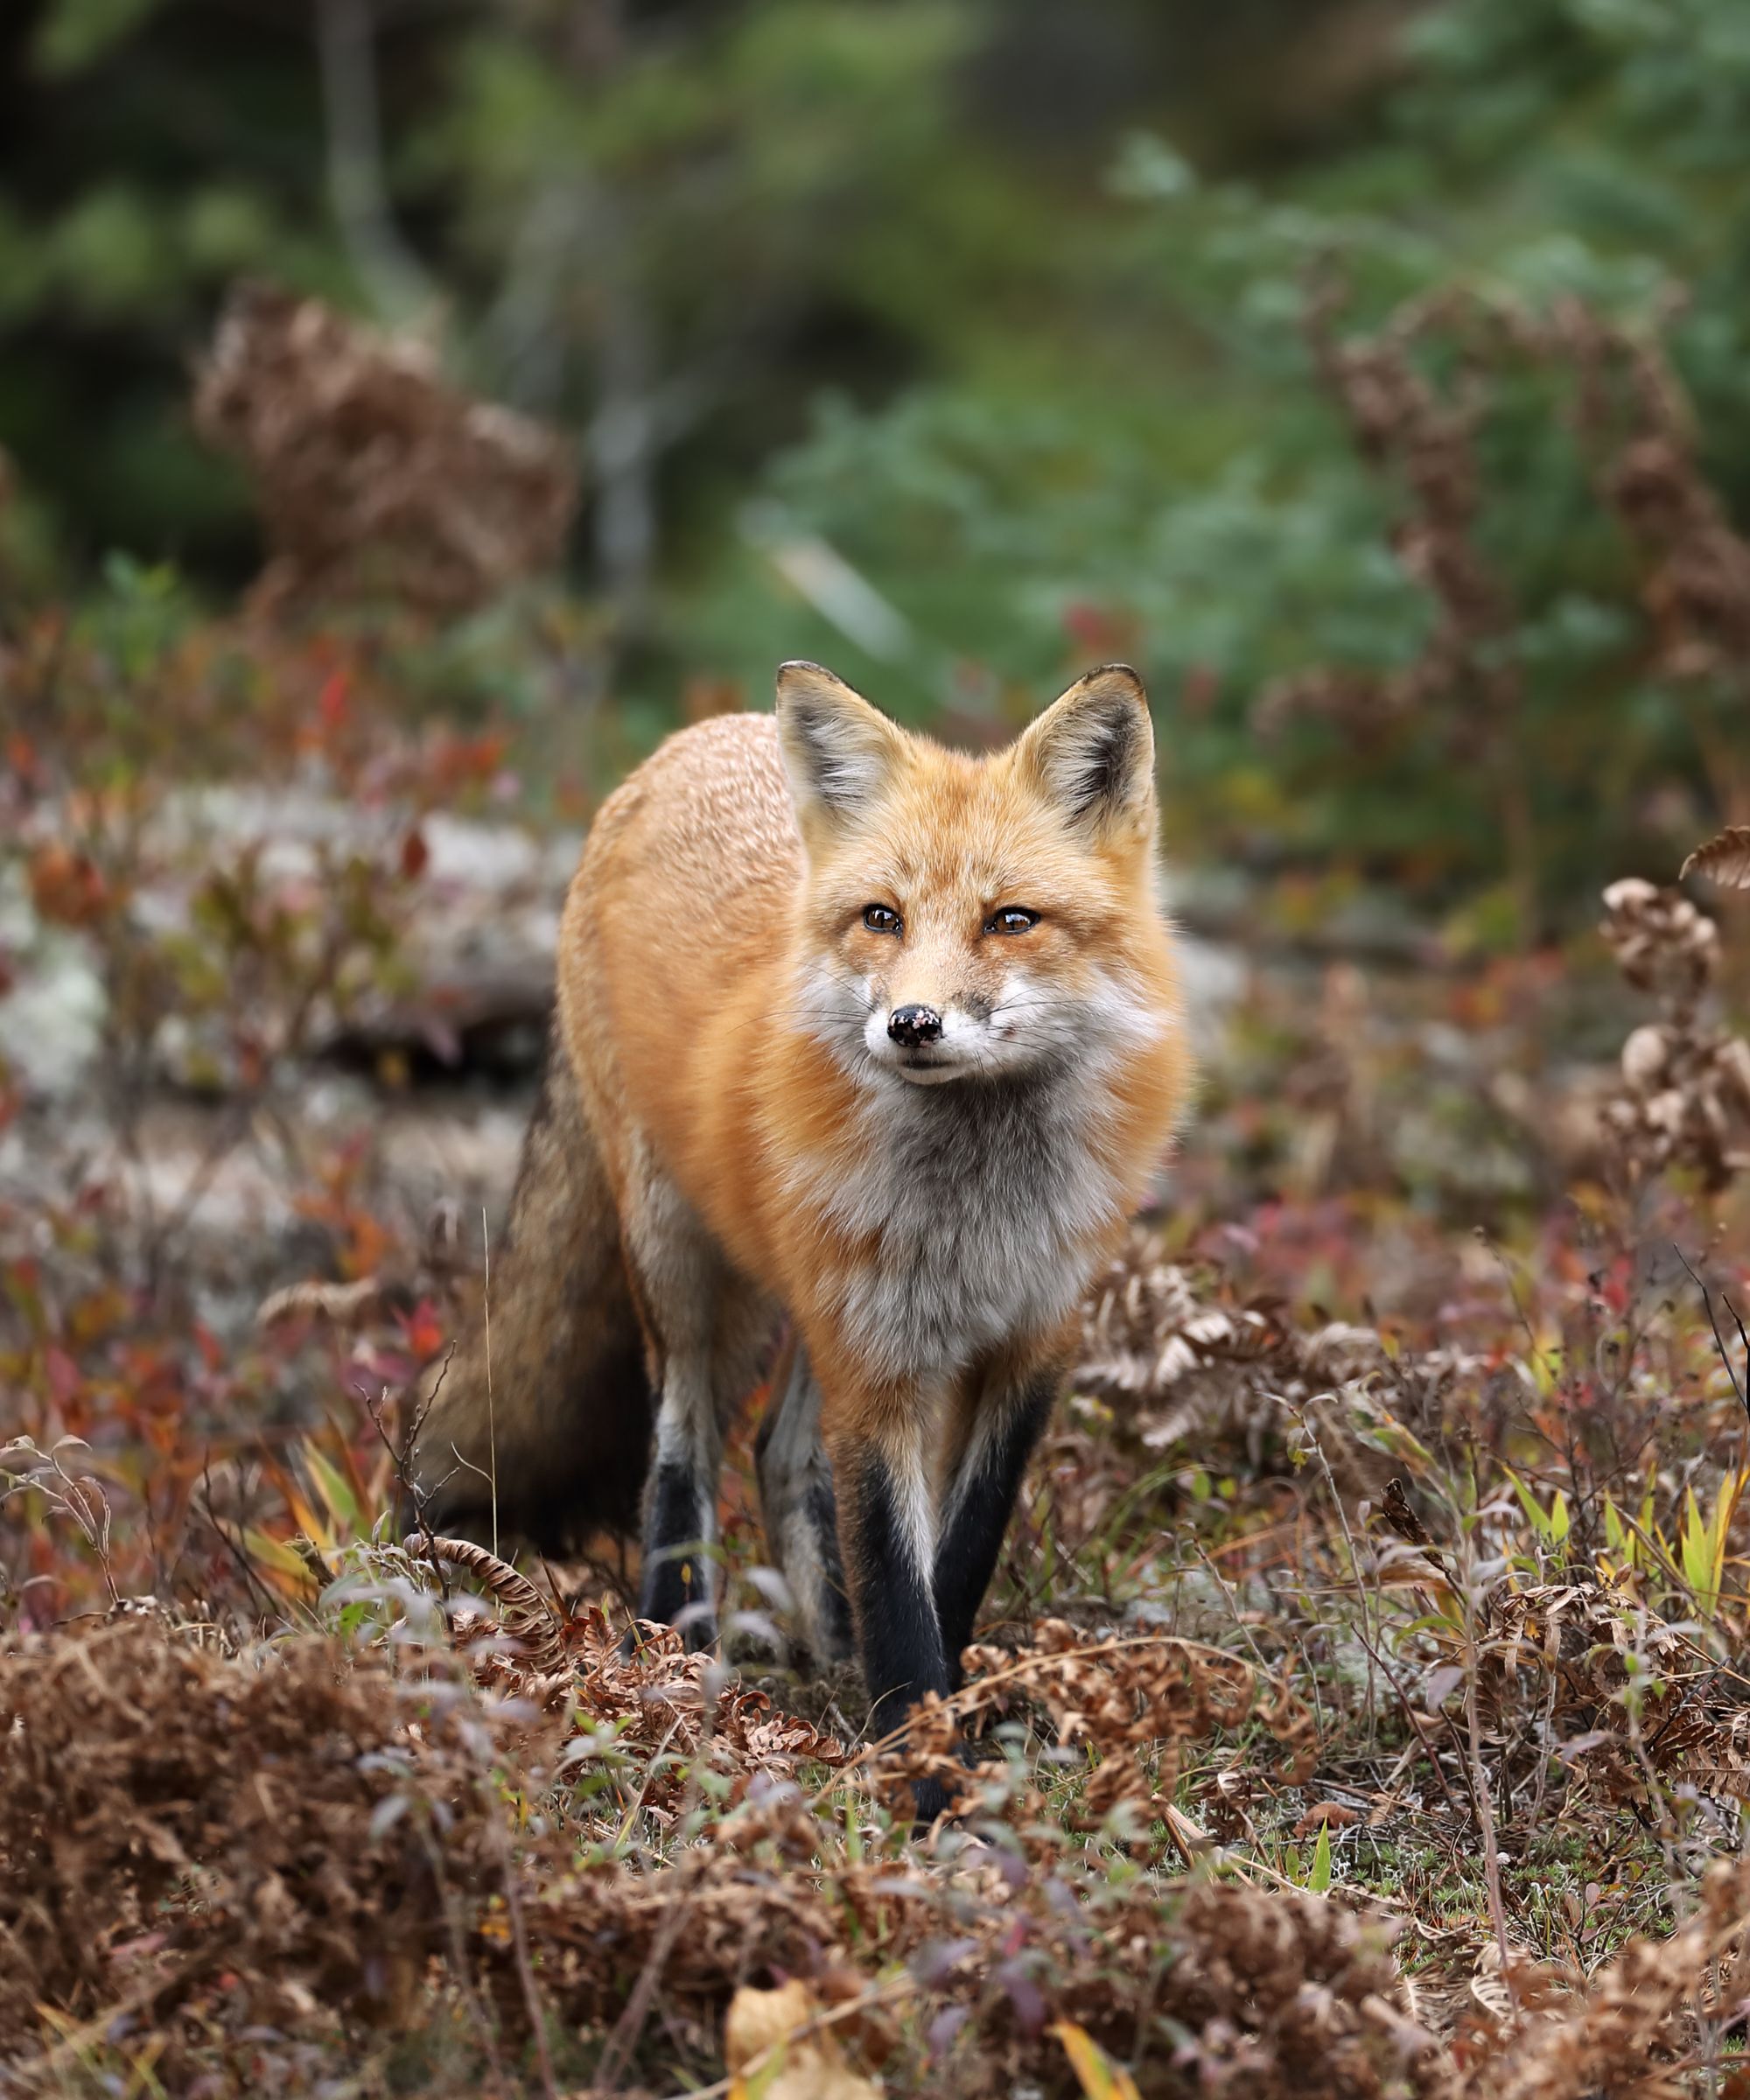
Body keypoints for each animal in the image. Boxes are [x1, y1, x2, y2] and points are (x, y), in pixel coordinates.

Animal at [410, 661, 1191, 1814]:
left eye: (1011, 919)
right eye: (882, 917)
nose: (911, 1024)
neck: (979, 1216)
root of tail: (689, 742)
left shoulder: (1031, 1345)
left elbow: (952, 1561)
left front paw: (923, 1713)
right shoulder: (875, 1367)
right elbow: (896, 1589)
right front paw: (927, 1786)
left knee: (777, 1455)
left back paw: (824, 1649)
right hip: (688, 1272)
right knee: (682, 1451)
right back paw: (669, 1652)